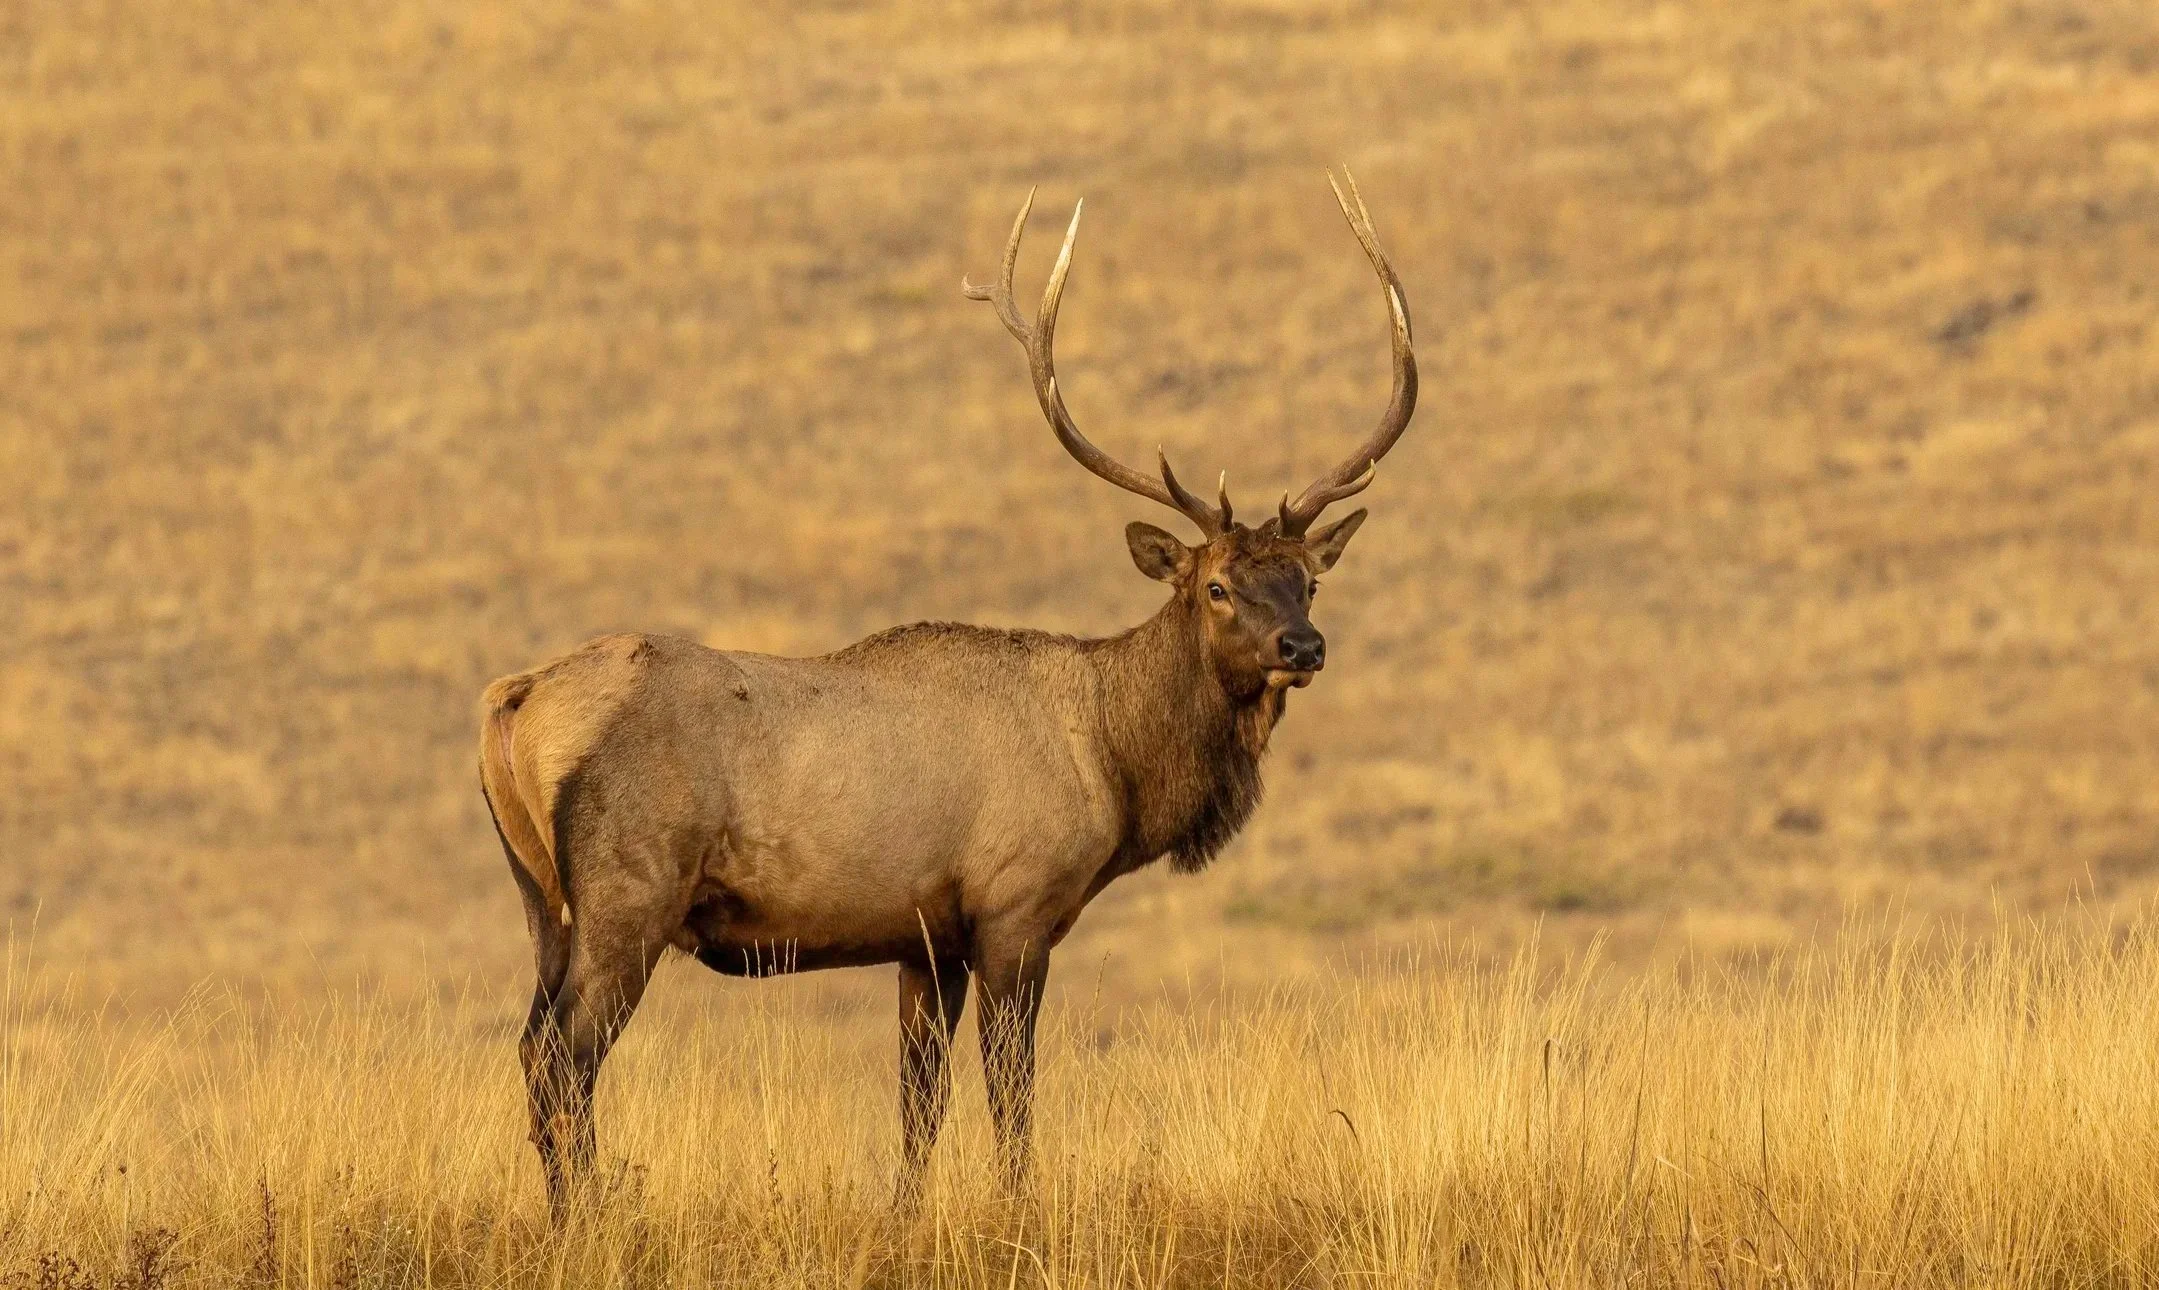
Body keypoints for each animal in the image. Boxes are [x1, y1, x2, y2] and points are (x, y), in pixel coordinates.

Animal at [477, 173, 1418, 1219]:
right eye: (1215, 585)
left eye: (1308, 581)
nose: (1304, 646)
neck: (1115, 763)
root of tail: (512, 704)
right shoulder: (1014, 907)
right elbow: (1010, 1089)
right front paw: (1018, 1209)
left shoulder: (925, 939)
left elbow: (918, 1101)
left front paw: (906, 1213)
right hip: (626, 893)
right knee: (564, 1059)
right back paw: (584, 1217)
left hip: (540, 902)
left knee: (530, 1049)